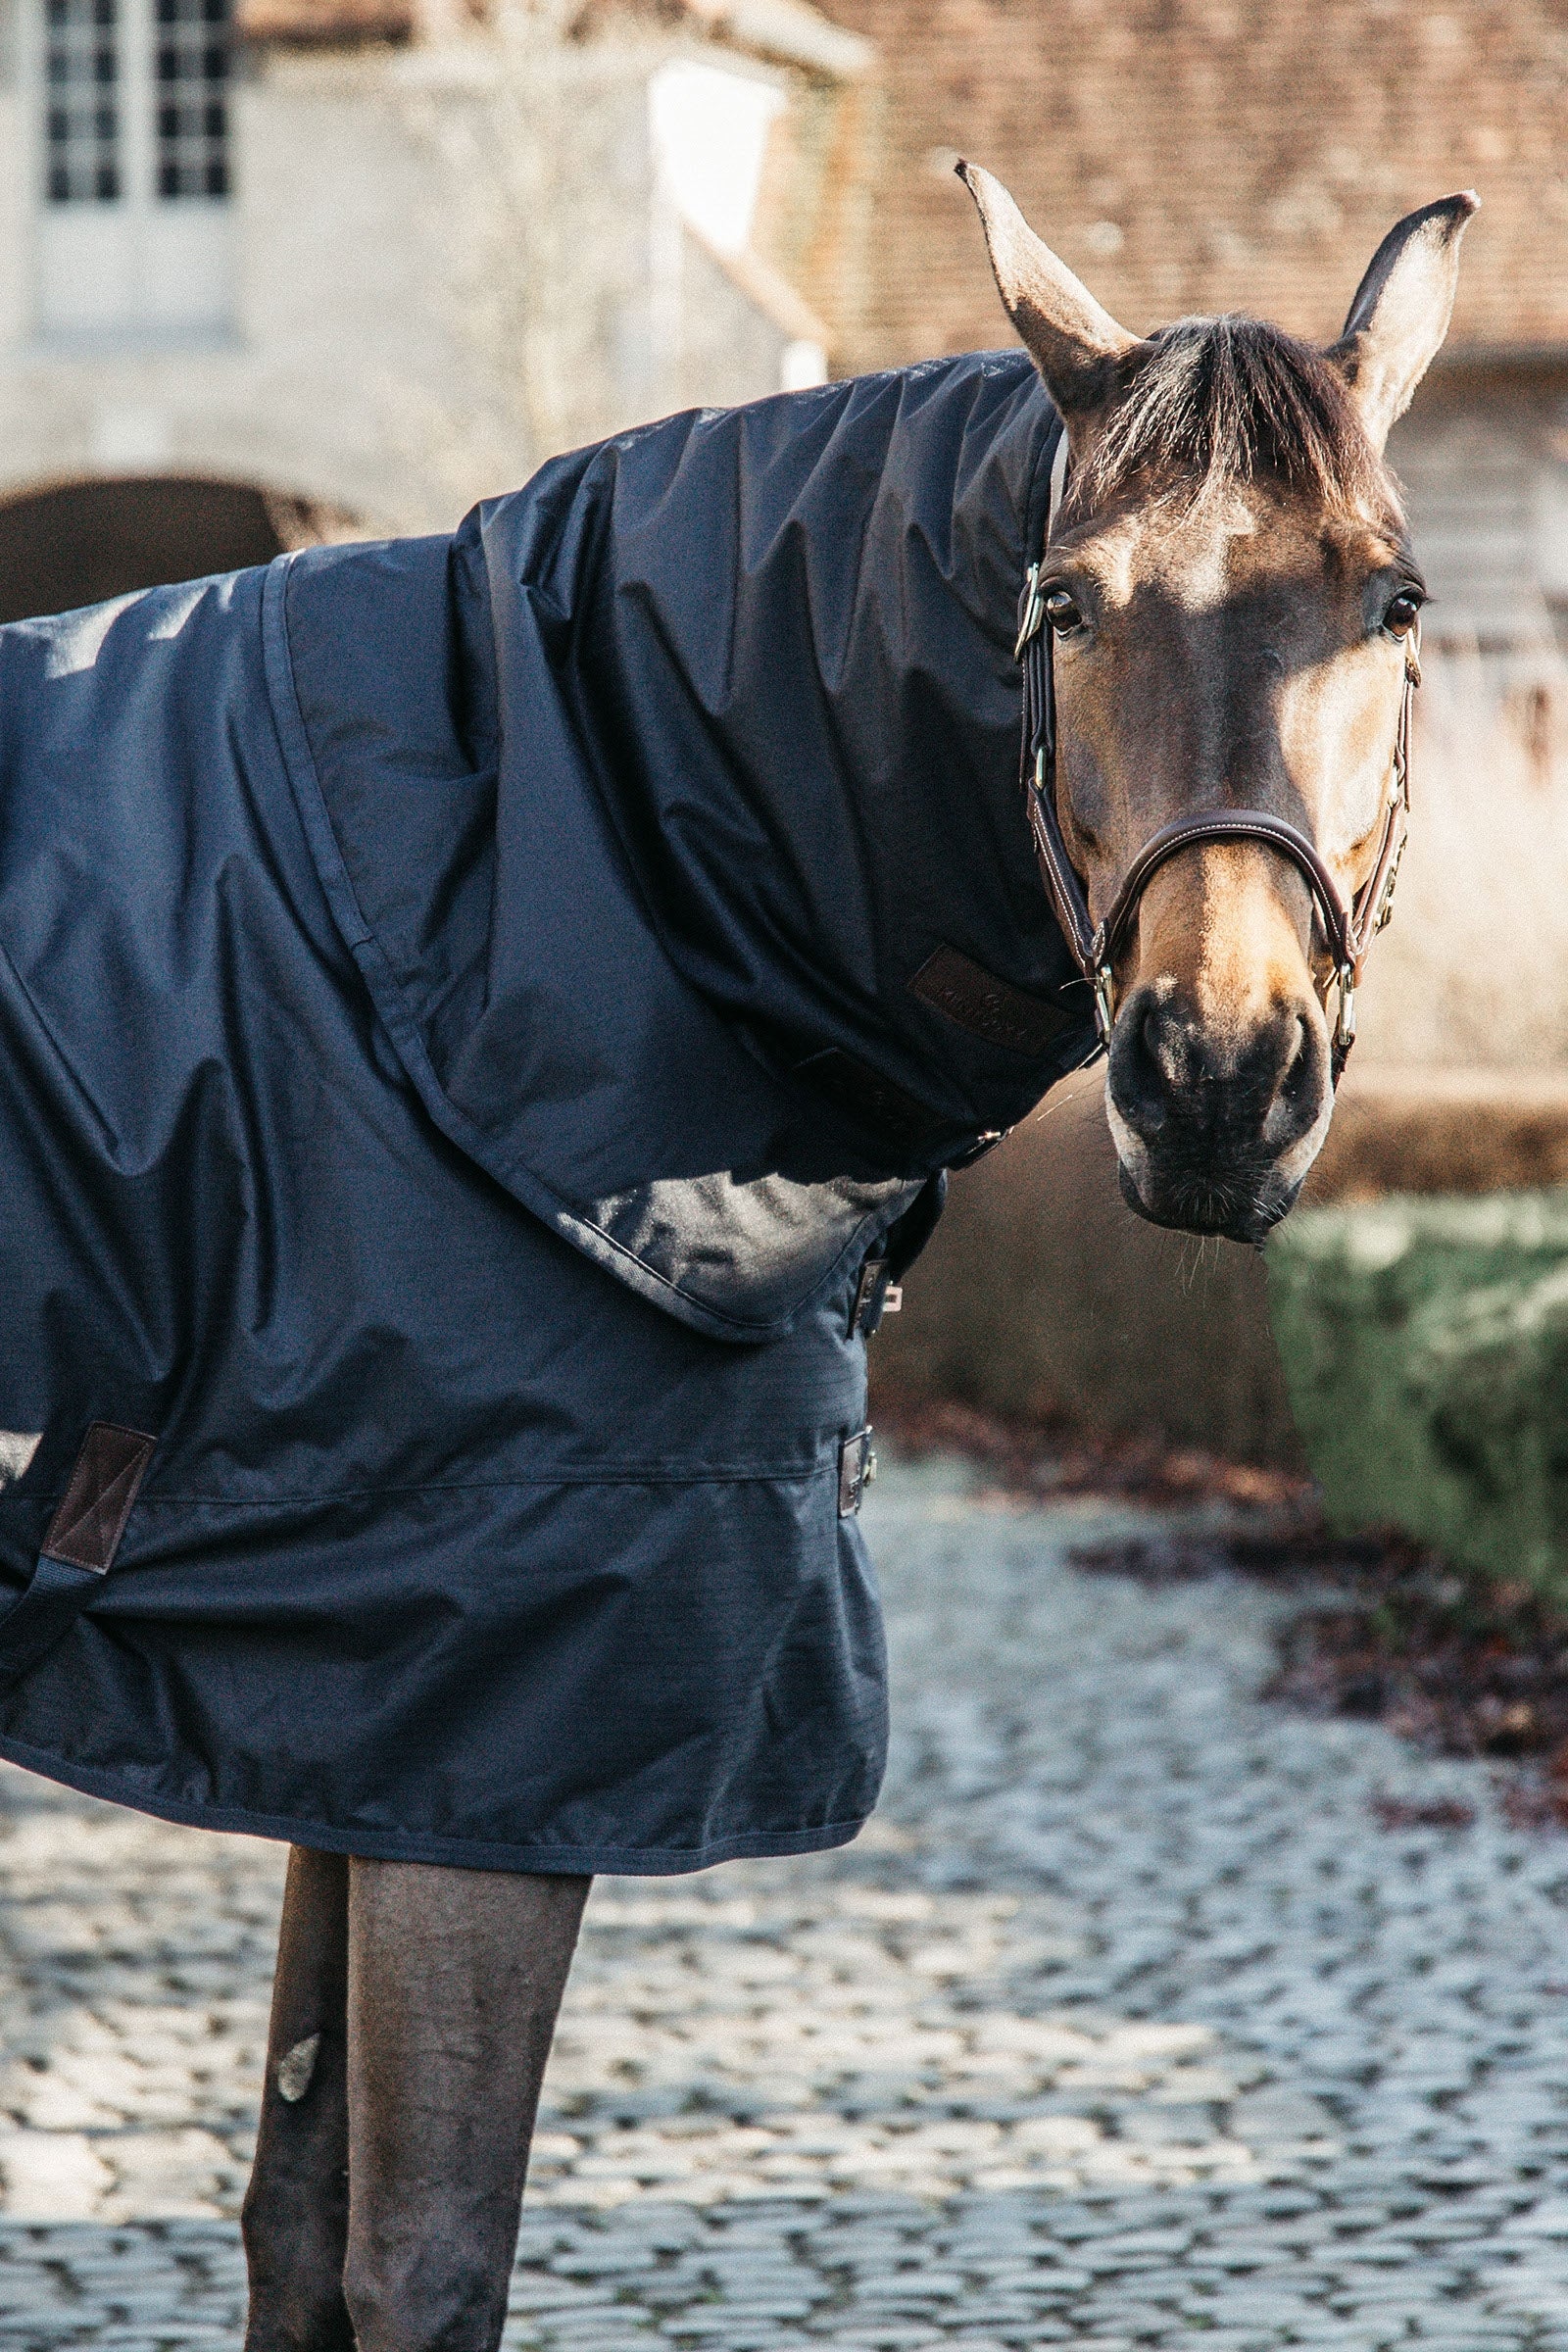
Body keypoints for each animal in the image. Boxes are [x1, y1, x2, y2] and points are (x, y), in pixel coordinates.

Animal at [0, 167, 1471, 2350]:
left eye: (1388, 603)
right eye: (1064, 604)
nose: (1216, 1075)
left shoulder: (358, 1723)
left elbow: (295, 2215)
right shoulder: (484, 1718)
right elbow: (417, 2251)